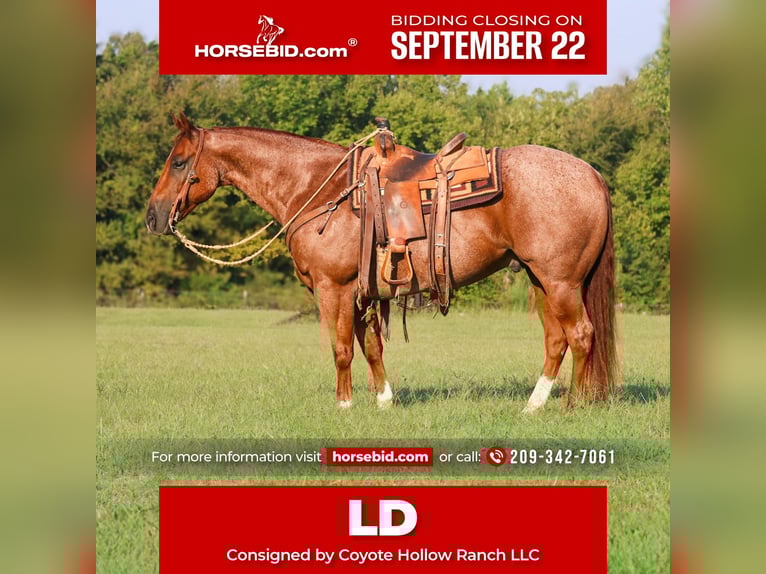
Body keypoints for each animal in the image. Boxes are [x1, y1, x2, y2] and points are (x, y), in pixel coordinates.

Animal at [145, 113, 617, 413]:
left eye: (179, 162)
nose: (153, 217)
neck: (318, 188)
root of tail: (591, 174)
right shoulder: (363, 290)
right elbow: (370, 345)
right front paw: (383, 399)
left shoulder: (334, 287)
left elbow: (340, 348)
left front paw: (344, 403)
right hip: (541, 280)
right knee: (556, 340)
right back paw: (533, 405)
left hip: (560, 282)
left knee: (581, 334)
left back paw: (573, 405)